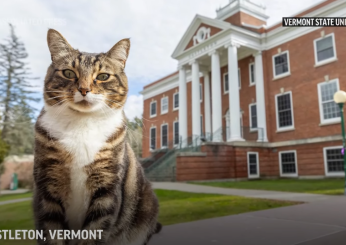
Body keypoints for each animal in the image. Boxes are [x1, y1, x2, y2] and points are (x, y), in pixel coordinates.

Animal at [33, 29, 160, 245]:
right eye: (68, 72)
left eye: (103, 76)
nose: (84, 89)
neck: (82, 124)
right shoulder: (47, 186)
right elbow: (52, 231)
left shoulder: (107, 187)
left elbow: (95, 229)